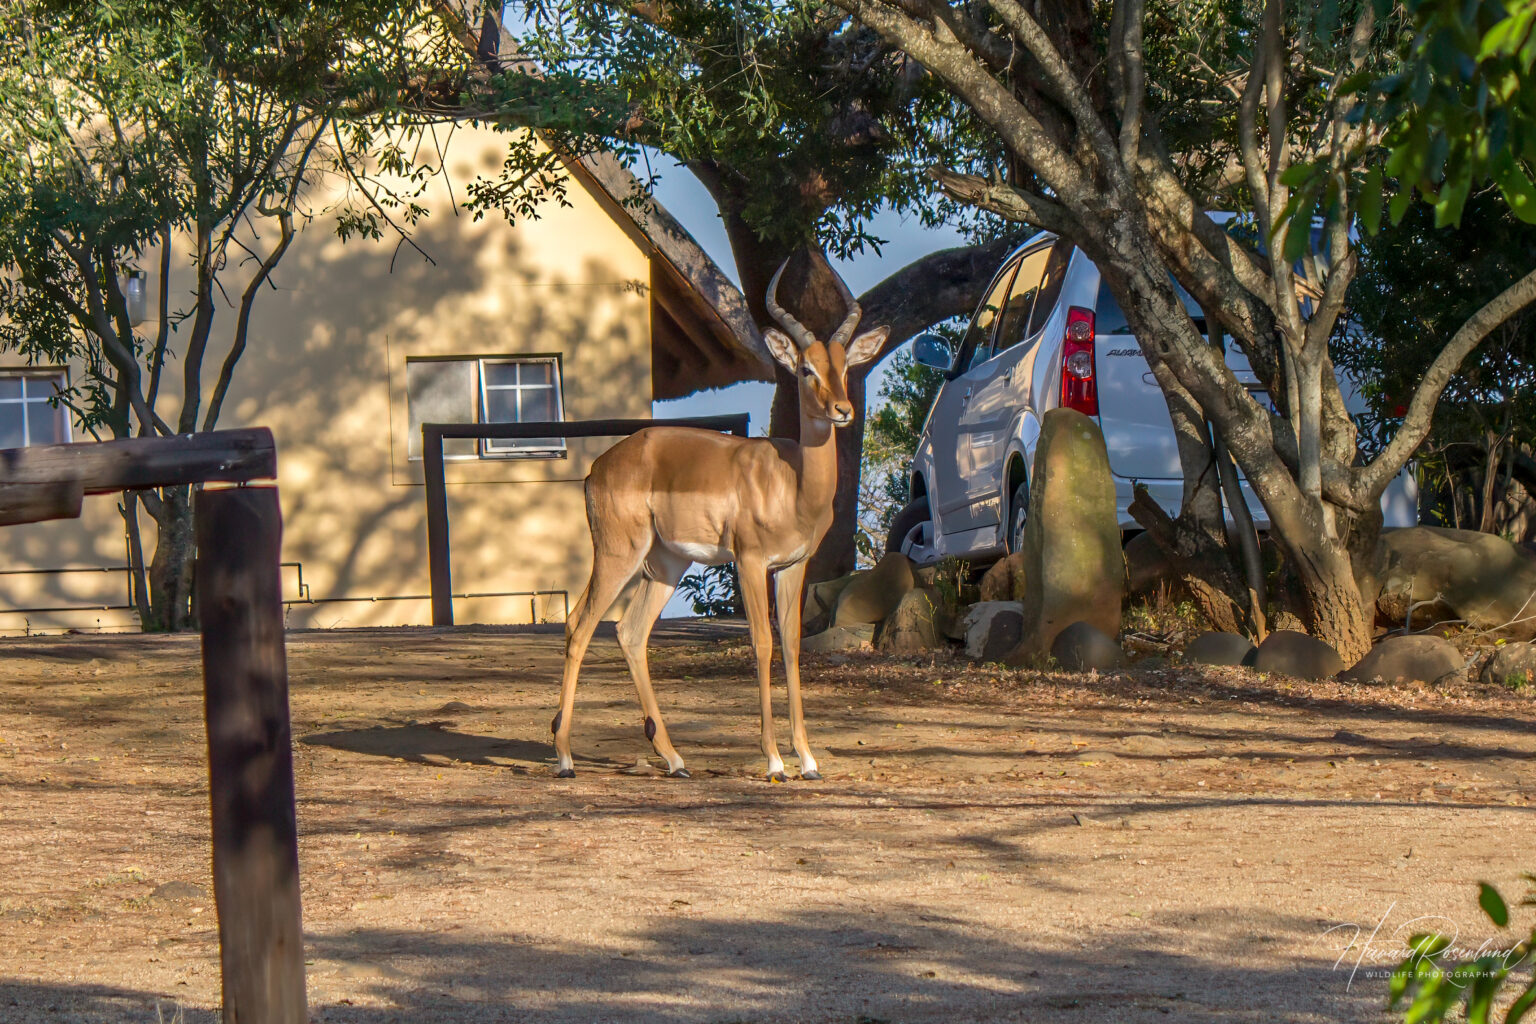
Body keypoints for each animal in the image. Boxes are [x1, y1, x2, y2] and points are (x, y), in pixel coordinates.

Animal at [553, 258, 888, 781]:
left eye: (844, 365)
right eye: (806, 367)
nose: (842, 410)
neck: (792, 480)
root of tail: (599, 467)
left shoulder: (792, 566)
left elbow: (792, 645)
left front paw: (808, 759)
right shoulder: (750, 562)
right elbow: (762, 643)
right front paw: (774, 761)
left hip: (666, 565)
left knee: (629, 633)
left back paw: (674, 760)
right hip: (618, 555)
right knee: (579, 625)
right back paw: (565, 758)